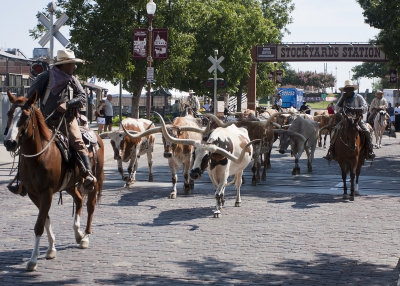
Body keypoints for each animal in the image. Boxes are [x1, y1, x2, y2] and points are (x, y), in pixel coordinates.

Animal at [3, 91, 104, 270]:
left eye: (25, 116)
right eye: (9, 113)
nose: (10, 142)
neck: (39, 156)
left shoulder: (47, 193)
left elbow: (39, 224)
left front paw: (33, 260)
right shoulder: (34, 194)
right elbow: (45, 219)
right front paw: (51, 249)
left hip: (95, 181)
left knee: (90, 206)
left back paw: (85, 237)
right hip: (70, 184)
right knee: (79, 200)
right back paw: (78, 233)